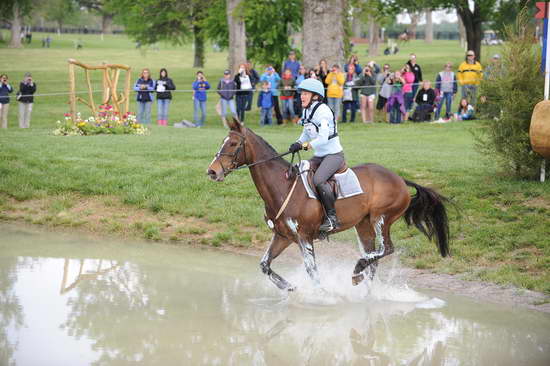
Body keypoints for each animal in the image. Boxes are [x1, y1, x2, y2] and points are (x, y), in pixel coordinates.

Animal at [209, 120, 450, 292]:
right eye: (222, 141)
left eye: (233, 144)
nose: (212, 171)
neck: (282, 186)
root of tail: (400, 179)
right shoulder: (283, 236)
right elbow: (264, 265)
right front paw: (289, 287)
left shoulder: (304, 237)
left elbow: (313, 272)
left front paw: (323, 297)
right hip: (363, 225)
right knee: (373, 258)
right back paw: (362, 284)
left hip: (381, 218)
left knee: (386, 249)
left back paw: (358, 270)